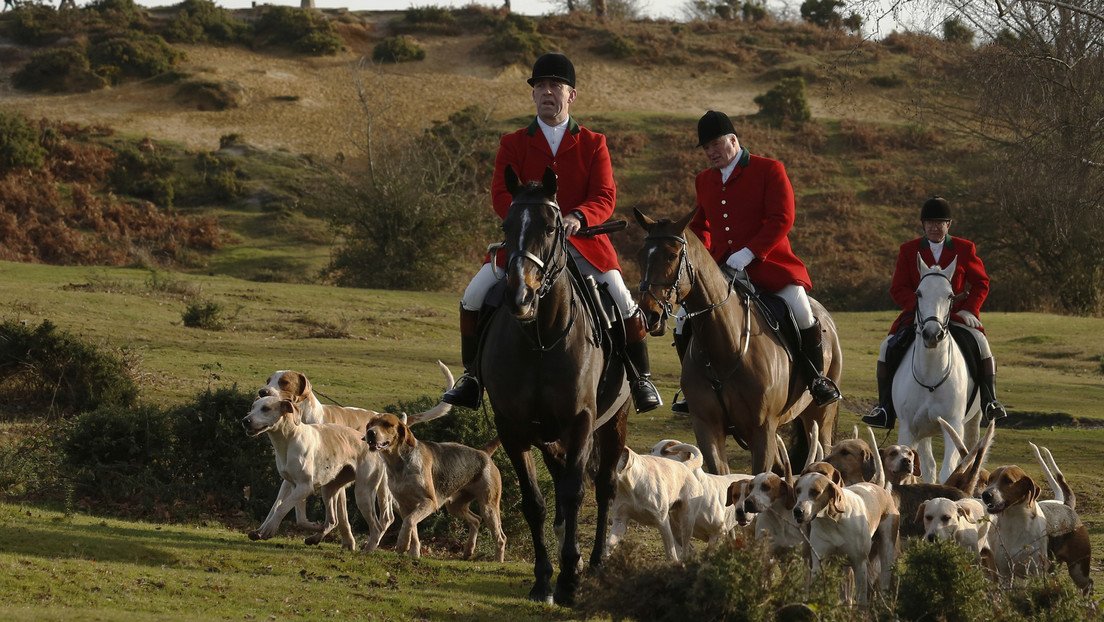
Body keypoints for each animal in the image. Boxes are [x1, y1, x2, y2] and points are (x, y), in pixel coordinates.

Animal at [481, 167, 631, 605]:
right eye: (507, 225)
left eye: (552, 228)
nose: (520, 295)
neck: (540, 338)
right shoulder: (512, 429)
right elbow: (535, 502)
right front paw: (545, 579)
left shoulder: (580, 423)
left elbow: (573, 492)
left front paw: (568, 582)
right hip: (549, 438)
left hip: (613, 424)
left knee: (604, 487)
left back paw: (594, 562)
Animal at [635, 208, 839, 477]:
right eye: (641, 257)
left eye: (671, 255)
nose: (649, 315)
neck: (725, 348)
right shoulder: (707, 428)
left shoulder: (762, 431)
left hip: (819, 416)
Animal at [896, 255, 984, 483]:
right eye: (918, 293)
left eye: (950, 295)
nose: (932, 334)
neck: (930, 374)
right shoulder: (908, 429)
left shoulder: (954, 425)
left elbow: (949, 472)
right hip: (923, 431)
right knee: (929, 467)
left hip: (973, 421)